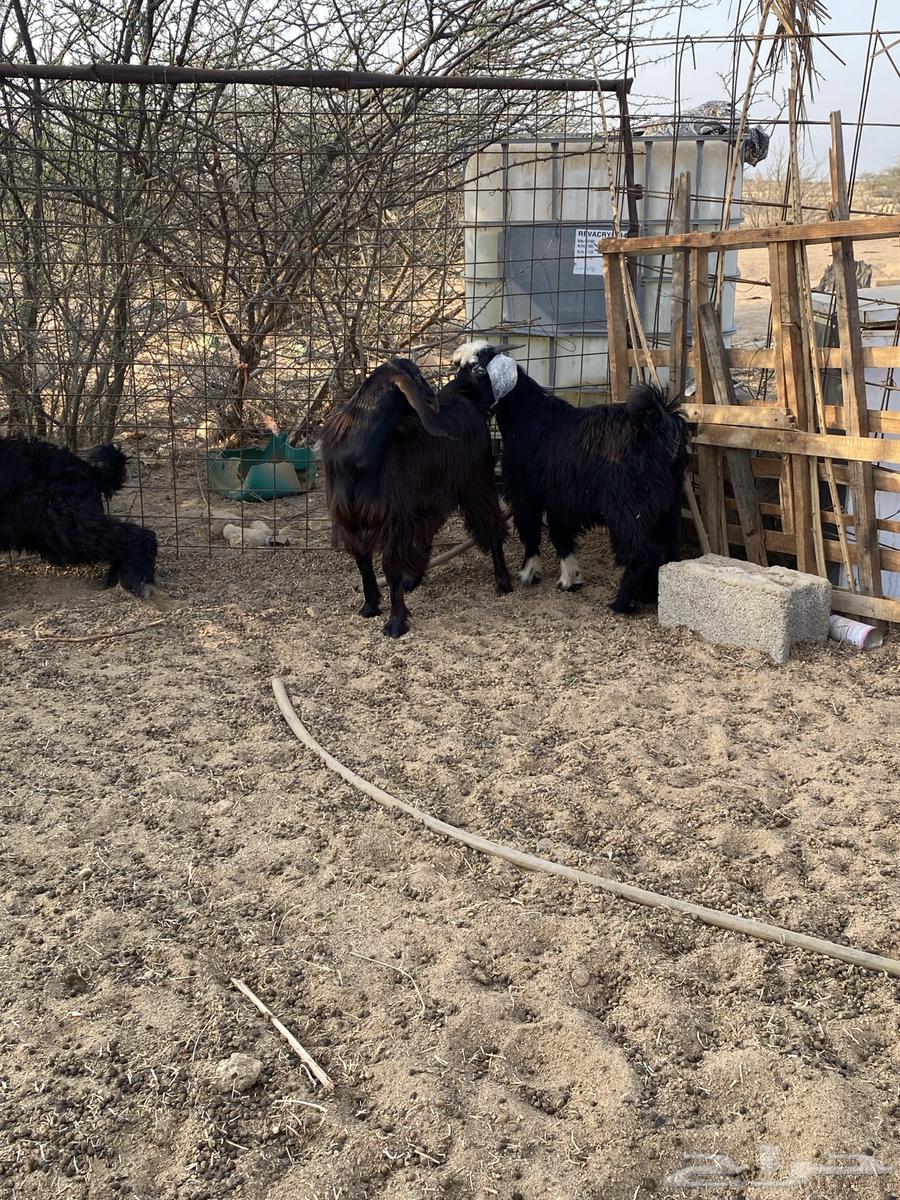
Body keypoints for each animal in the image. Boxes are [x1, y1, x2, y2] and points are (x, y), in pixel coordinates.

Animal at [321, 356, 511, 638]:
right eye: (419, 378)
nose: (433, 398)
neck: (355, 457)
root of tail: (467, 402)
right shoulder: (351, 519)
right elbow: (364, 564)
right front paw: (370, 606)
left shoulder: (391, 520)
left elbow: (390, 570)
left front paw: (396, 622)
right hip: (428, 497)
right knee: (428, 531)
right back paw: (413, 579)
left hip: (476, 483)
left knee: (491, 525)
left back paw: (503, 581)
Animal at [450, 341, 688, 614]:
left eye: (477, 369)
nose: (452, 394)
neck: (527, 417)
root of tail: (657, 425)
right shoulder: (559, 499)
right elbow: (560, 535)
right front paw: (571, 578)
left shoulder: (526, 495)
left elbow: (531, 531)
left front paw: (529, 573)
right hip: (667, 507)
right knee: (668, 550)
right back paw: (649, 595)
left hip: (628, 509)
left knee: (644, 553)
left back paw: (622, 602)